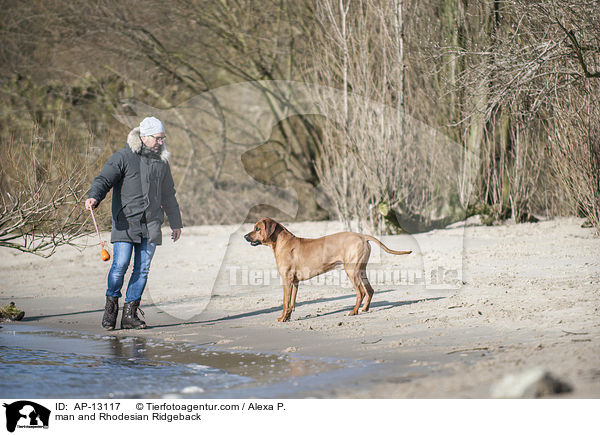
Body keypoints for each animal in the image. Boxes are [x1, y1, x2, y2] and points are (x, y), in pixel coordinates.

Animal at [243, 220, 408, 322]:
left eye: (257, 228)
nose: (244, 236)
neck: (282, 242)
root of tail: (361, 235)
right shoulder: (295, 282)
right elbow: (291, 303)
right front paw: (287, 318)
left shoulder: (286, 280)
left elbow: (284, 302)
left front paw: (282, 318)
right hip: (360, 270)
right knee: (370, 290)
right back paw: (364, 309)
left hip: (351, 271)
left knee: (360, 292)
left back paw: (353, 311)